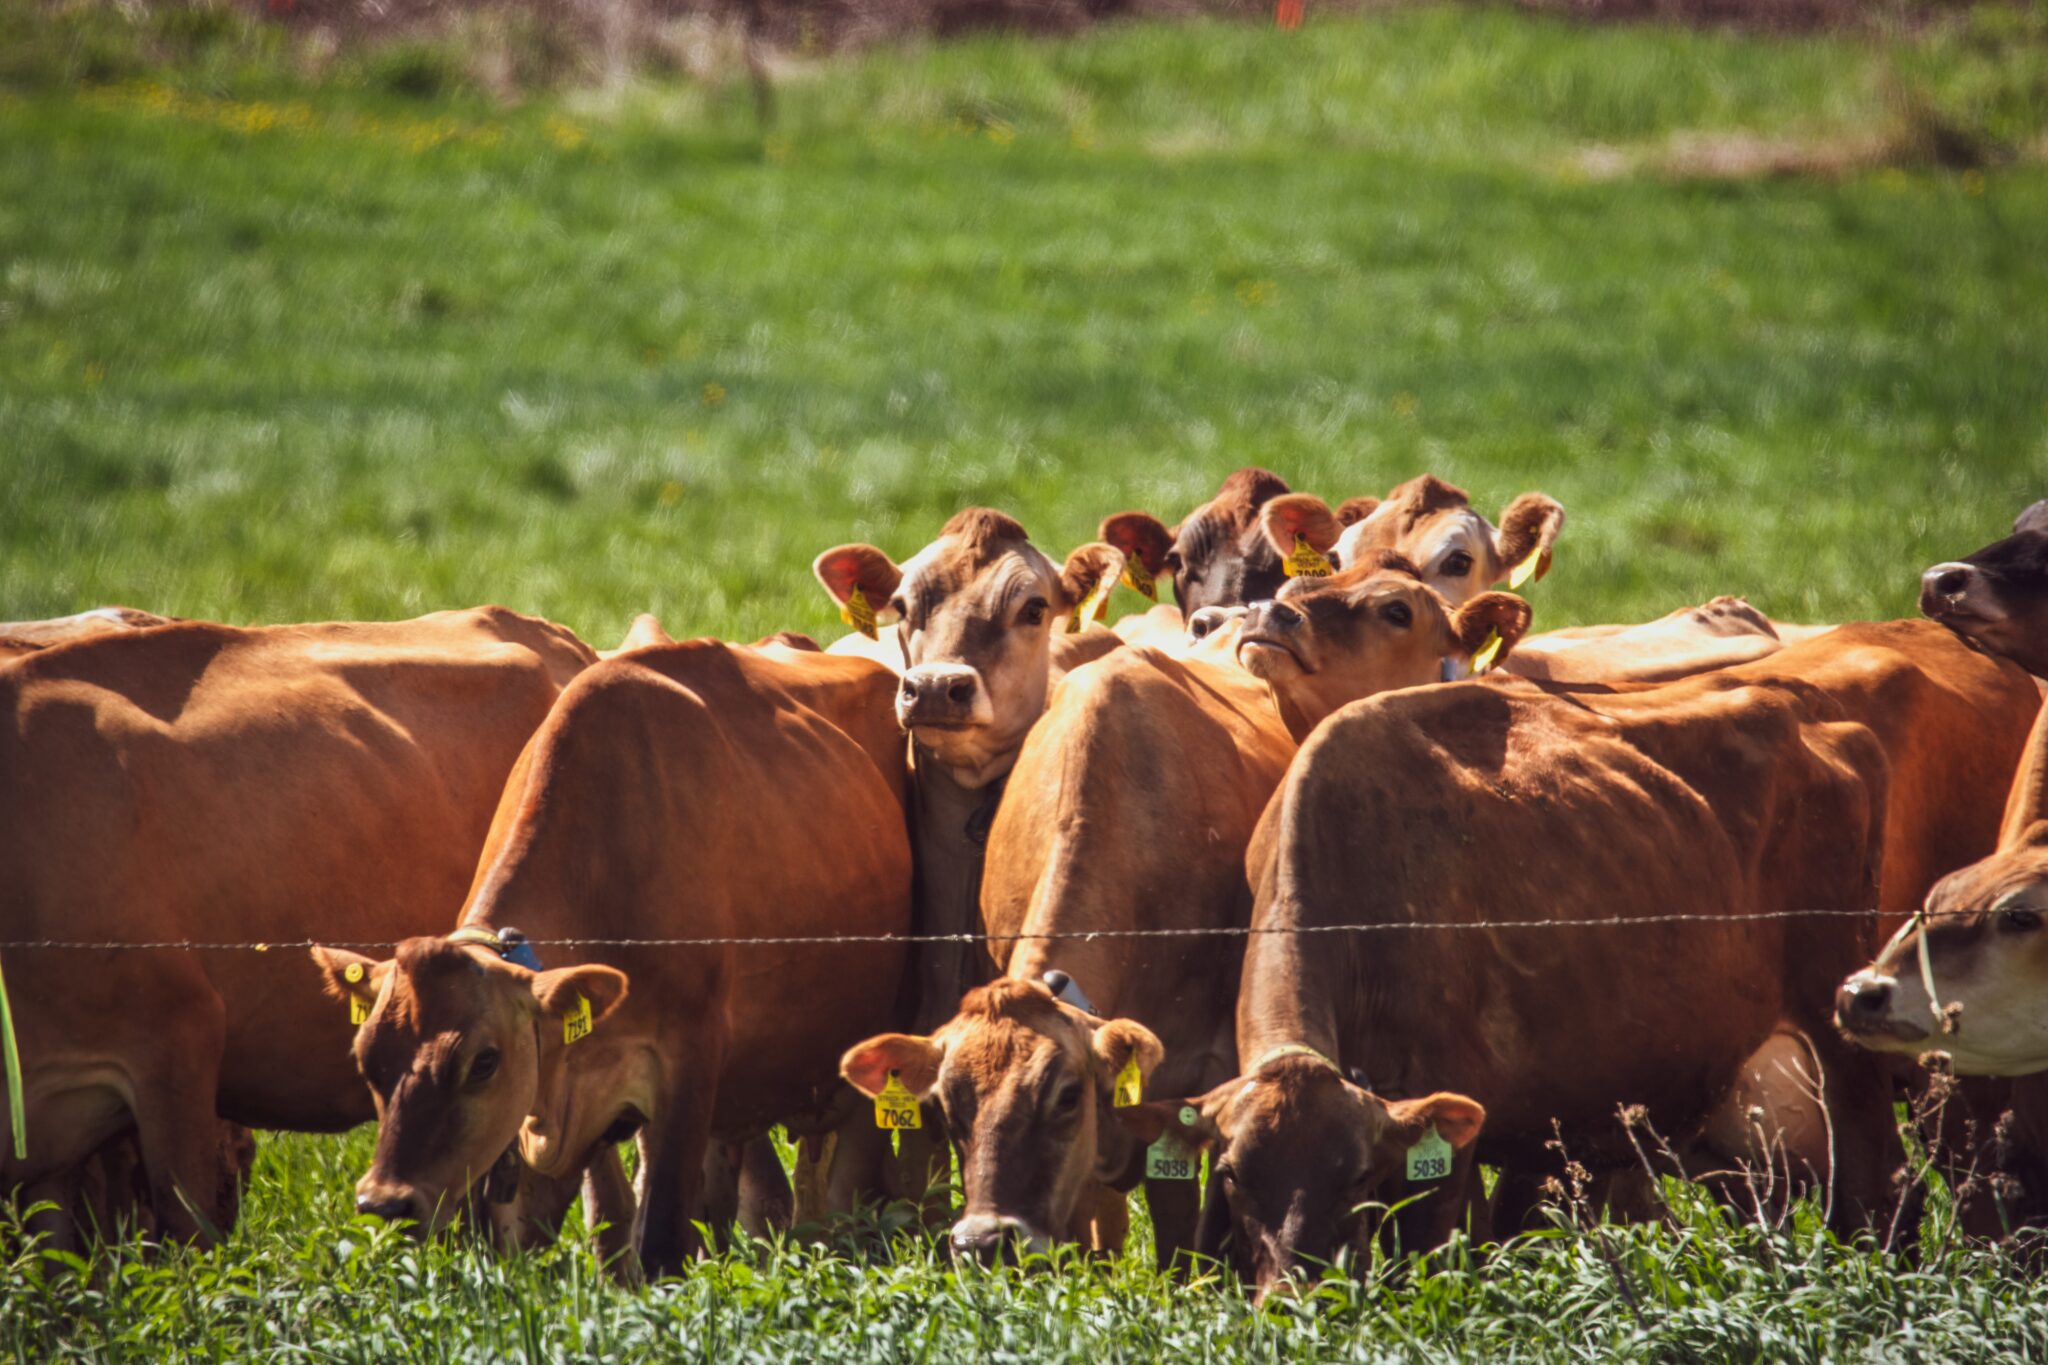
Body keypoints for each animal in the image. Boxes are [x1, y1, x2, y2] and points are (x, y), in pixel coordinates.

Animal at [313, 642, 913, 1285]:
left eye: (483, 1062)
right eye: (366, 1059)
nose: (385, 1201)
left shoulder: (690, 1060)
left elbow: (663, 1238)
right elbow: (601, 1221)